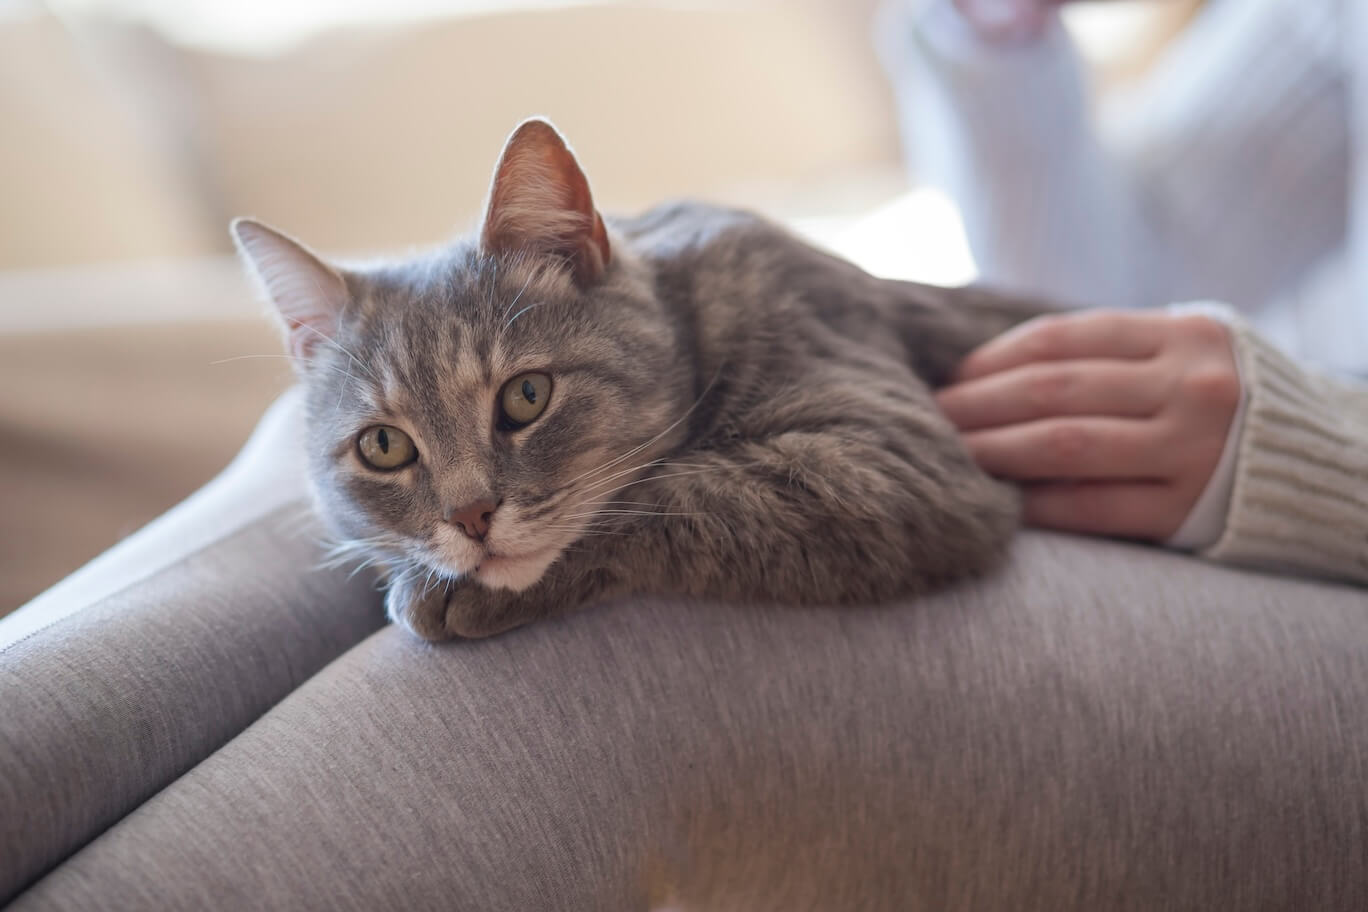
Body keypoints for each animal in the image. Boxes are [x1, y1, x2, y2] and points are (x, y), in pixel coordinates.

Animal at [232, 116, 1045, 642]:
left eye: (526, 396)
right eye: (384, 447)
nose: (471, 517)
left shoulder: (886, 459)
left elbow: (674, 492)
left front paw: (441, 596)